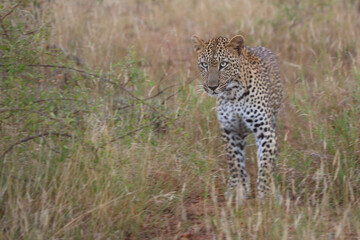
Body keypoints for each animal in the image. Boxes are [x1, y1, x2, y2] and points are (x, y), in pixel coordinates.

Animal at [193, 33, 282, 199]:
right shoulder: (230, 130)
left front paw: (267, 195)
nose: (212, 87)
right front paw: (237, 190)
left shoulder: (265, 131)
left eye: (223, 64)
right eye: (204, 65)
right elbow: (234, 162)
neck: (233, 94)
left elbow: (266, 164)